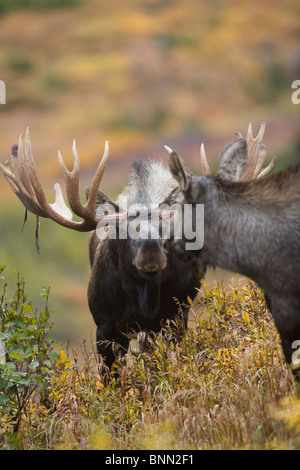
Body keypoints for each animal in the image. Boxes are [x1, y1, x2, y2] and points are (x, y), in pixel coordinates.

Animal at [0, 126, 276, 374]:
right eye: (124, 230)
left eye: (167, 228)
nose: (151, 253)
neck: (145, 298)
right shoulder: (105, 326)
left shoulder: (176, 317)